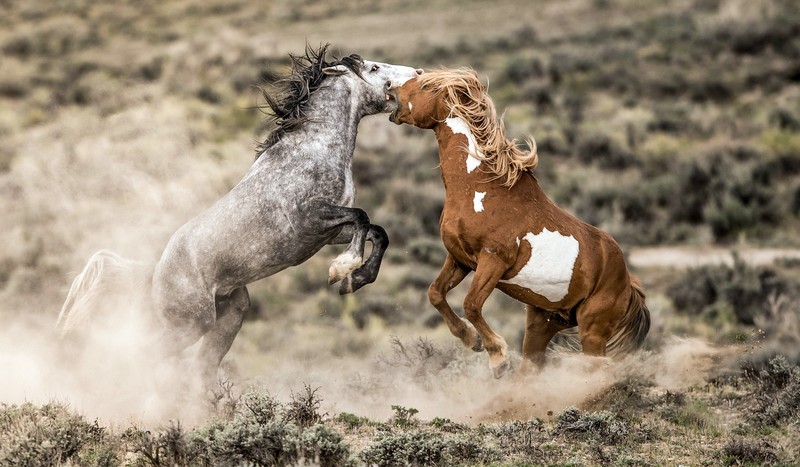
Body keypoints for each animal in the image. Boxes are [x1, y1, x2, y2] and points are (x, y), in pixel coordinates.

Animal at [56, 44, 423, 385]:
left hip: (229, 318)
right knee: (143, 357)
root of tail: (156, 272)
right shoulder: (311, 219)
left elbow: (377, 231)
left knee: (199, 371)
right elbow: (362, 216)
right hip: (189, 325)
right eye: (374, 68)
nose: (418, 72)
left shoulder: (330, 233)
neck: (313, 149)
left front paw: (358, 279)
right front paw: (342, 270)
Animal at [387, 68, 650, 378]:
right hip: (543, 322)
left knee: (596, 368)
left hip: (592, 329)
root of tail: (627, 280)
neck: (480, 187)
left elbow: (471, 304)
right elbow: (436, 294)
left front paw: (497, 357)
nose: (389, 87)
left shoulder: (493, 260)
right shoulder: (460, 259)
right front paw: (472, 340)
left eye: (426, 84)